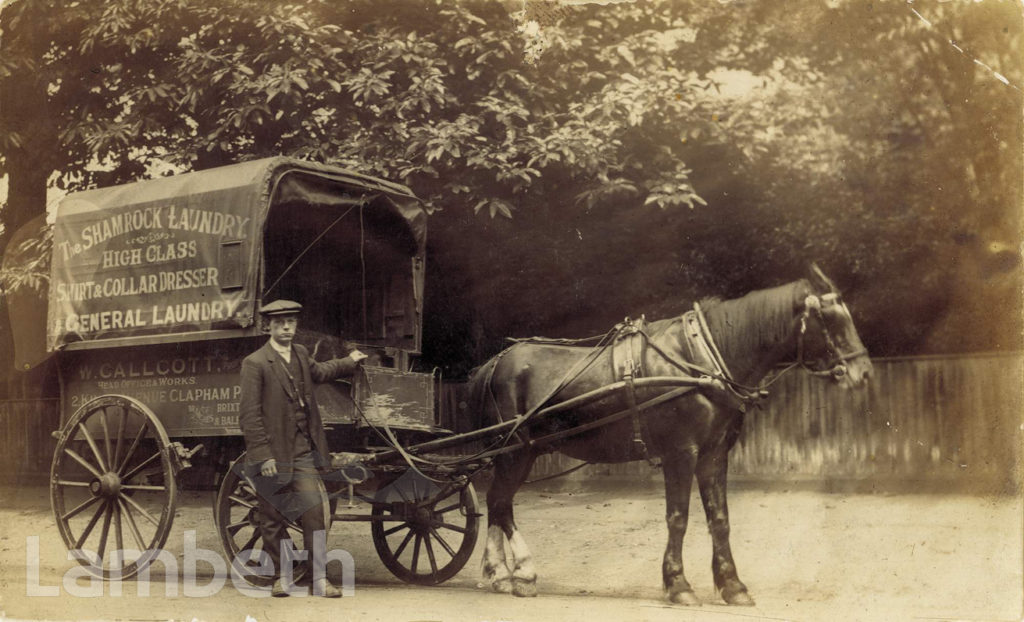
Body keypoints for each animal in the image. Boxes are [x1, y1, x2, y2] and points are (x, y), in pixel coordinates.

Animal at [464, 264, 872, 606]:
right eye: (830, 320)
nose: (864, 373)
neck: (702, 360)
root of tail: (493, 364)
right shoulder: (681, 452)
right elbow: (678, 516)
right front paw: (678, 584)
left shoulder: (713, 454)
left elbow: (719, 518)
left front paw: (732, 586)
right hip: (515, 453)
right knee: (500, 502)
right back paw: (522, 573)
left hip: (517, 454)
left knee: (499, 505)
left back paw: (499, 574)